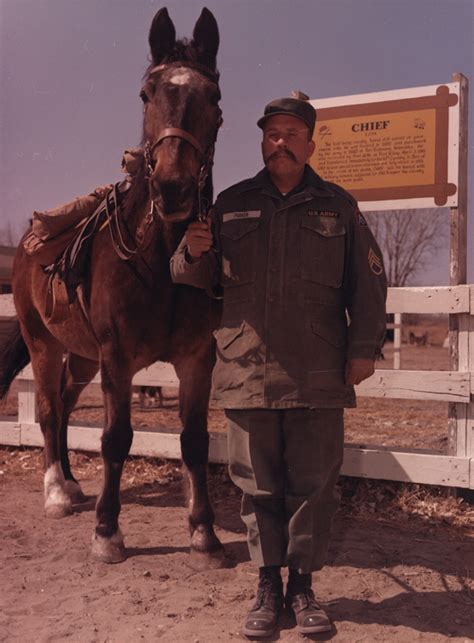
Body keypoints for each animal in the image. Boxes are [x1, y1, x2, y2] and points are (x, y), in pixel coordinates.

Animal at [0, 6, 225, 568]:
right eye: (146, 93)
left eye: (214, 97)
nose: (173, 188)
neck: (161, 261)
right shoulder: (117, 359)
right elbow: (116, 438)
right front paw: (107, 531)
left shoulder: (196, 358)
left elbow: (194, 441)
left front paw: (204, 533)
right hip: (43, 342)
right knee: (49, 408)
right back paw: (56, 492)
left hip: (81, 356)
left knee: (63, 404)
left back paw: (73, 483)